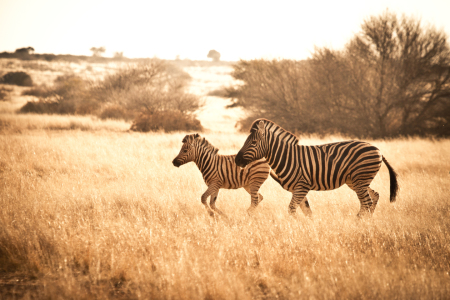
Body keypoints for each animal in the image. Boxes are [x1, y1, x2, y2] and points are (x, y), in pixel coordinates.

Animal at [234, 118, 400, 217]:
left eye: (253, 143)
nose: (237, 160)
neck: (287, 157)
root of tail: (377, 148)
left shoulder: (302, 186)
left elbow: (292, 209)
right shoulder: (298, 189)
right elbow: (307, 211)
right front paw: (308, 227)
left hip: (360, 179)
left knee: (366, 202)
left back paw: (359, 222)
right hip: (356, 181)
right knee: (375, 196)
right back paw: (368, 220)